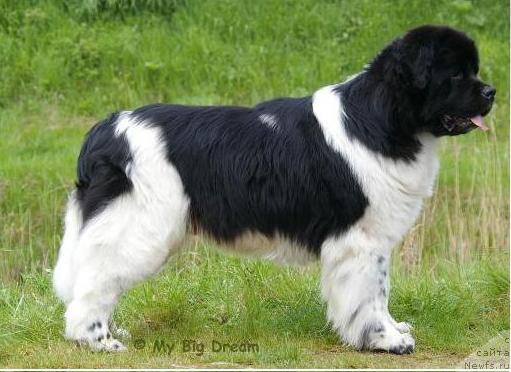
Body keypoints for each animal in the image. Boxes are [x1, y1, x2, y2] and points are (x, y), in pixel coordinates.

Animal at [53, 24, 496, 354]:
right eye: (455, 75)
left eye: (472, 71)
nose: (491, 92)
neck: (383, 116)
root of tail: (106, 131)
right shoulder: (361, 239)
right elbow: (371, 293)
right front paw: (385, 341)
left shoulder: (371, 240)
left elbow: (380, 291)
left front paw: (394, 329)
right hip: (139, 227)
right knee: (95, 281)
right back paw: (98, 340)